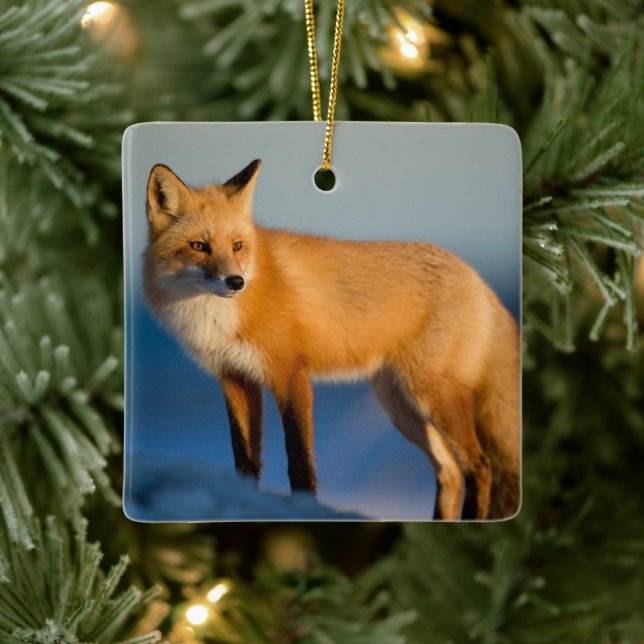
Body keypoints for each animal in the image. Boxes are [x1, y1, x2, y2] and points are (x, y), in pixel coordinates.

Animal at [142, 159, 520, 520]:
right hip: (400, 406)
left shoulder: (290, 374)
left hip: (431, 394)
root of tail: (477, 277)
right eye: (198, 246)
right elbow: (244, 461)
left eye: (237, 246)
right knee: (450, 470)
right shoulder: (235, 378)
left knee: (479, 466)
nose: (236, 282)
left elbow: (299, 461)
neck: (217, 317)